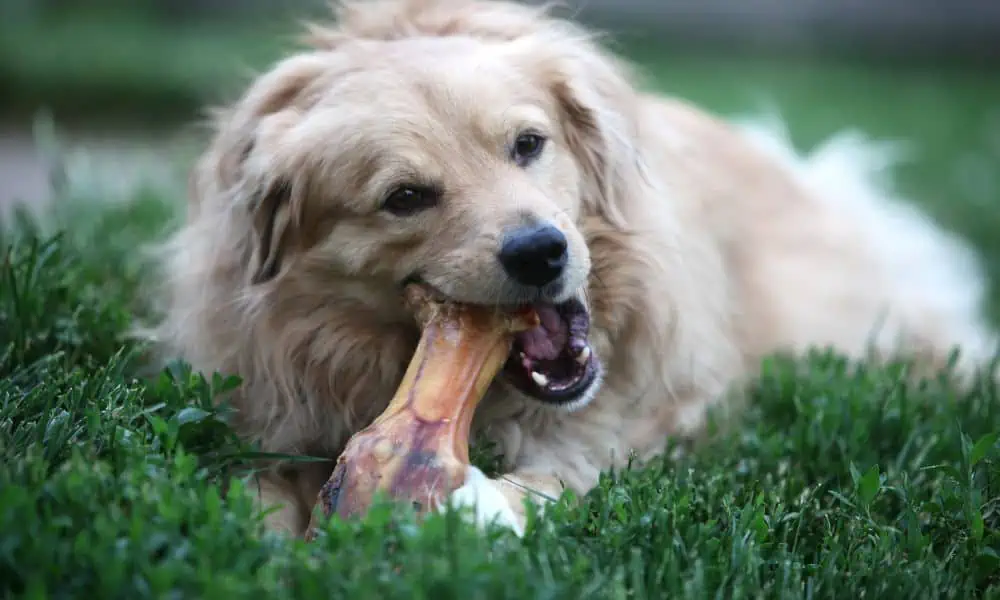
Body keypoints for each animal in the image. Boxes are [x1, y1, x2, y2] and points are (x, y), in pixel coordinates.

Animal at [150, 0, 1000, 536]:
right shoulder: (273, 415)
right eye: (406, 197)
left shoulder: (654, 422)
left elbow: (564, 474)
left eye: (528, 144)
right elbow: (253, 494)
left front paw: (480, 510)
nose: (540, 250)